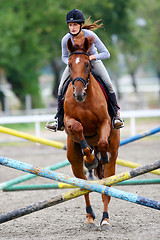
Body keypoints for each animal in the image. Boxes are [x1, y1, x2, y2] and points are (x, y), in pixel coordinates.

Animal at [63, 37, 120, 231]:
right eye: (70, 64)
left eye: (88, 64)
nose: (79, 94)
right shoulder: (68, 120)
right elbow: (77, 127)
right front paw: (89, 159)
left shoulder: (105, 122)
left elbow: (102, 143)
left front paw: (98, 158)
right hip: (73, 160)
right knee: (84, 186)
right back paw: (90, 217)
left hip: (114, 156)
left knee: (106, 188)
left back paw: (105, 219)